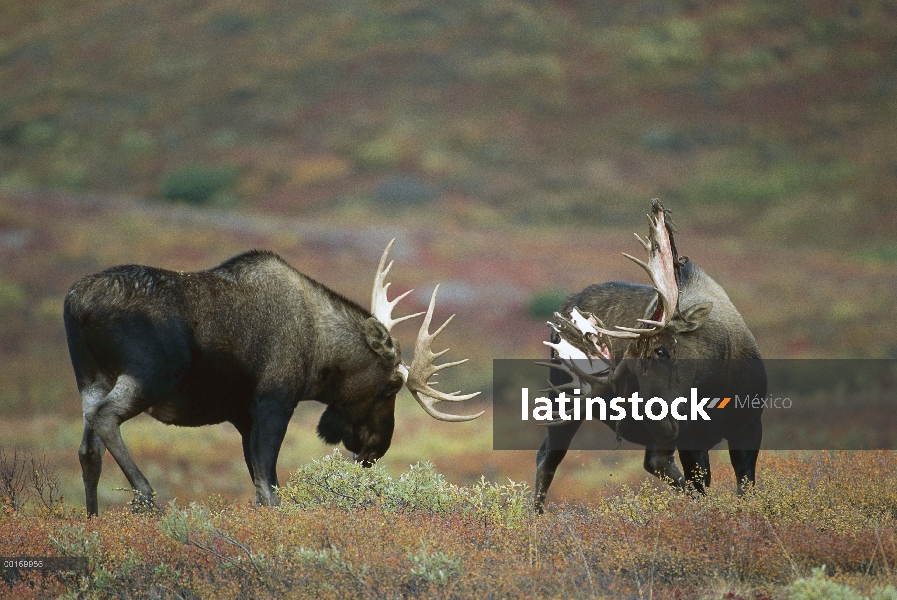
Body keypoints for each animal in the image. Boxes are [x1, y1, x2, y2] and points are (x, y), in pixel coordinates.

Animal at [64, 239, 480, 516]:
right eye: (391, 385)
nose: (377, 448)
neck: (319, 352)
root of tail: (74, 303)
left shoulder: (243, 418)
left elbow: (261, 481)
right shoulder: (274, 402)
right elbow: (268, 486)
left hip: (90, 377)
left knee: (88, 449)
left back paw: (93, 518)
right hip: (150, 374)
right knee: (105, 418)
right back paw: (145, 495)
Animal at [536, 202, 768, 510]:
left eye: (662, 351)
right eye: (631, 372)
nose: (658, 421)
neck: (717, 384)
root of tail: (565, 305)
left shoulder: (749, 423)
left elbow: (745, 487)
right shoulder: (691, 436)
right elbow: (700, 486)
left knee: (654, 461)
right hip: (562, 401)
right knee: (547, 458)